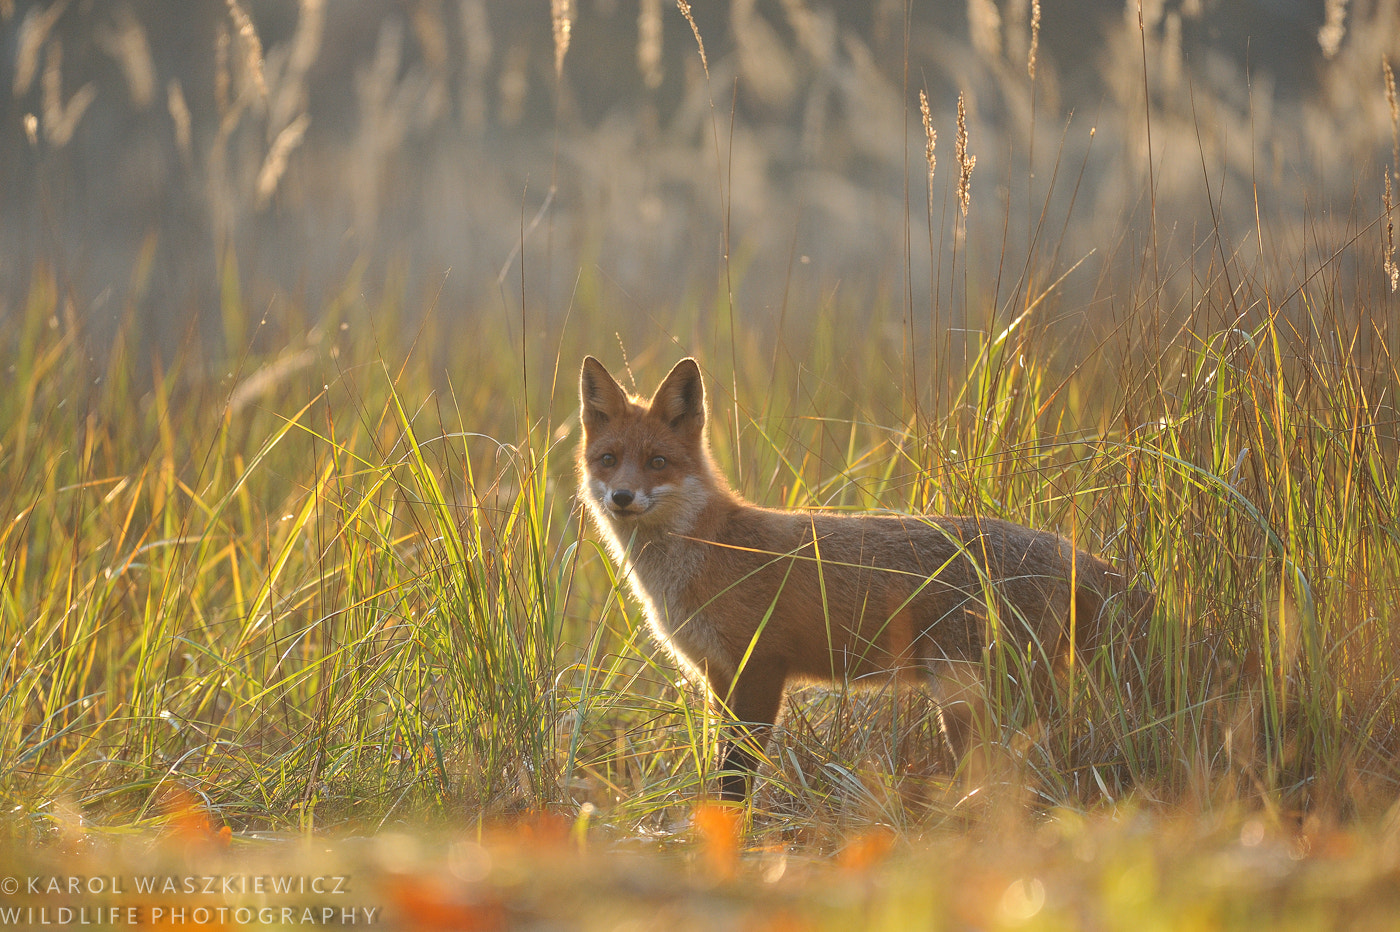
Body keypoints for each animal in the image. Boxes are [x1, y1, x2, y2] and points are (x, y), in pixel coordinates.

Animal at [577, 355, 1153, 801]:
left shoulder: (762, 665)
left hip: (970, 695)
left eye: (657, 462)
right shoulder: (719, 676)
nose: (622, 497)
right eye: (608, 459)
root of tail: (1065, 548)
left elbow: (737, 778)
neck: (708, 551)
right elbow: (726, 769)